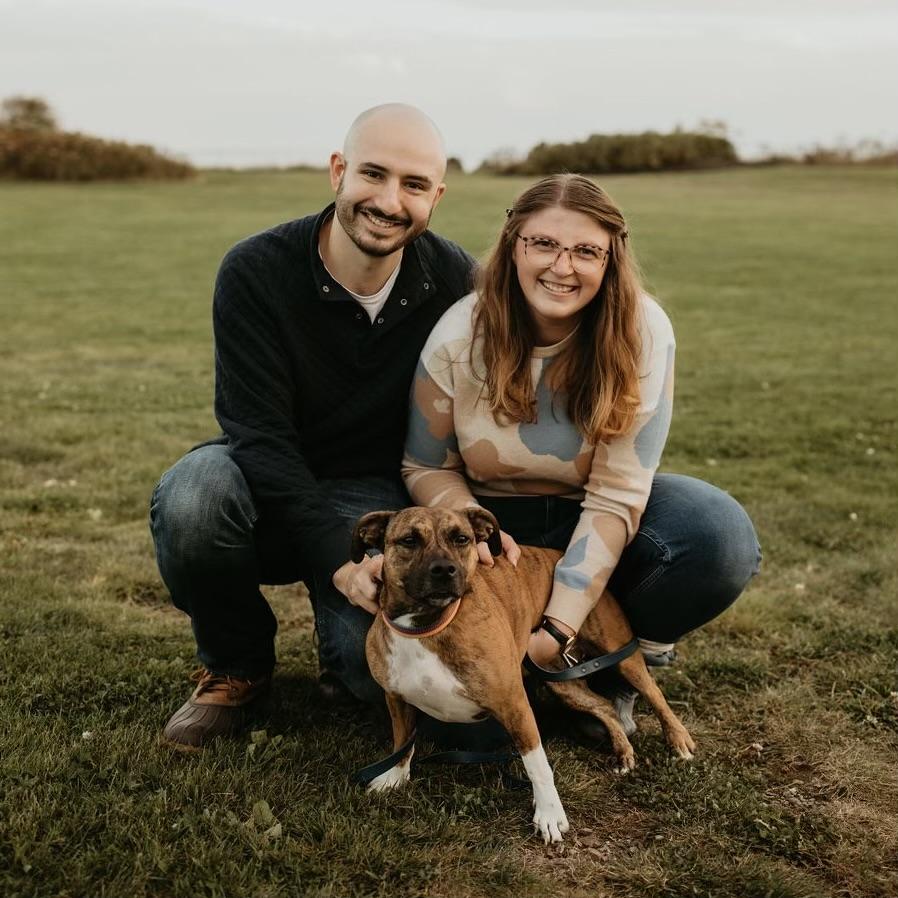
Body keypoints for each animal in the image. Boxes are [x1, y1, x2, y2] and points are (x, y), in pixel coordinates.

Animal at [351, 505, 695, 843]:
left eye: (461, 538)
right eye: (409, 540)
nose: (445, 569)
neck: (427, 624)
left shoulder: (514, 706)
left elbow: (537, 765)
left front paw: (550, 814)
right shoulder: (397, 700)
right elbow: (402, 742)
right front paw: (395, 777)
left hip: (622, 654)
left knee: (655, 695)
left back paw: (679, 741)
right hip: (561, 682)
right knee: (604, 706)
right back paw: (623, 751)